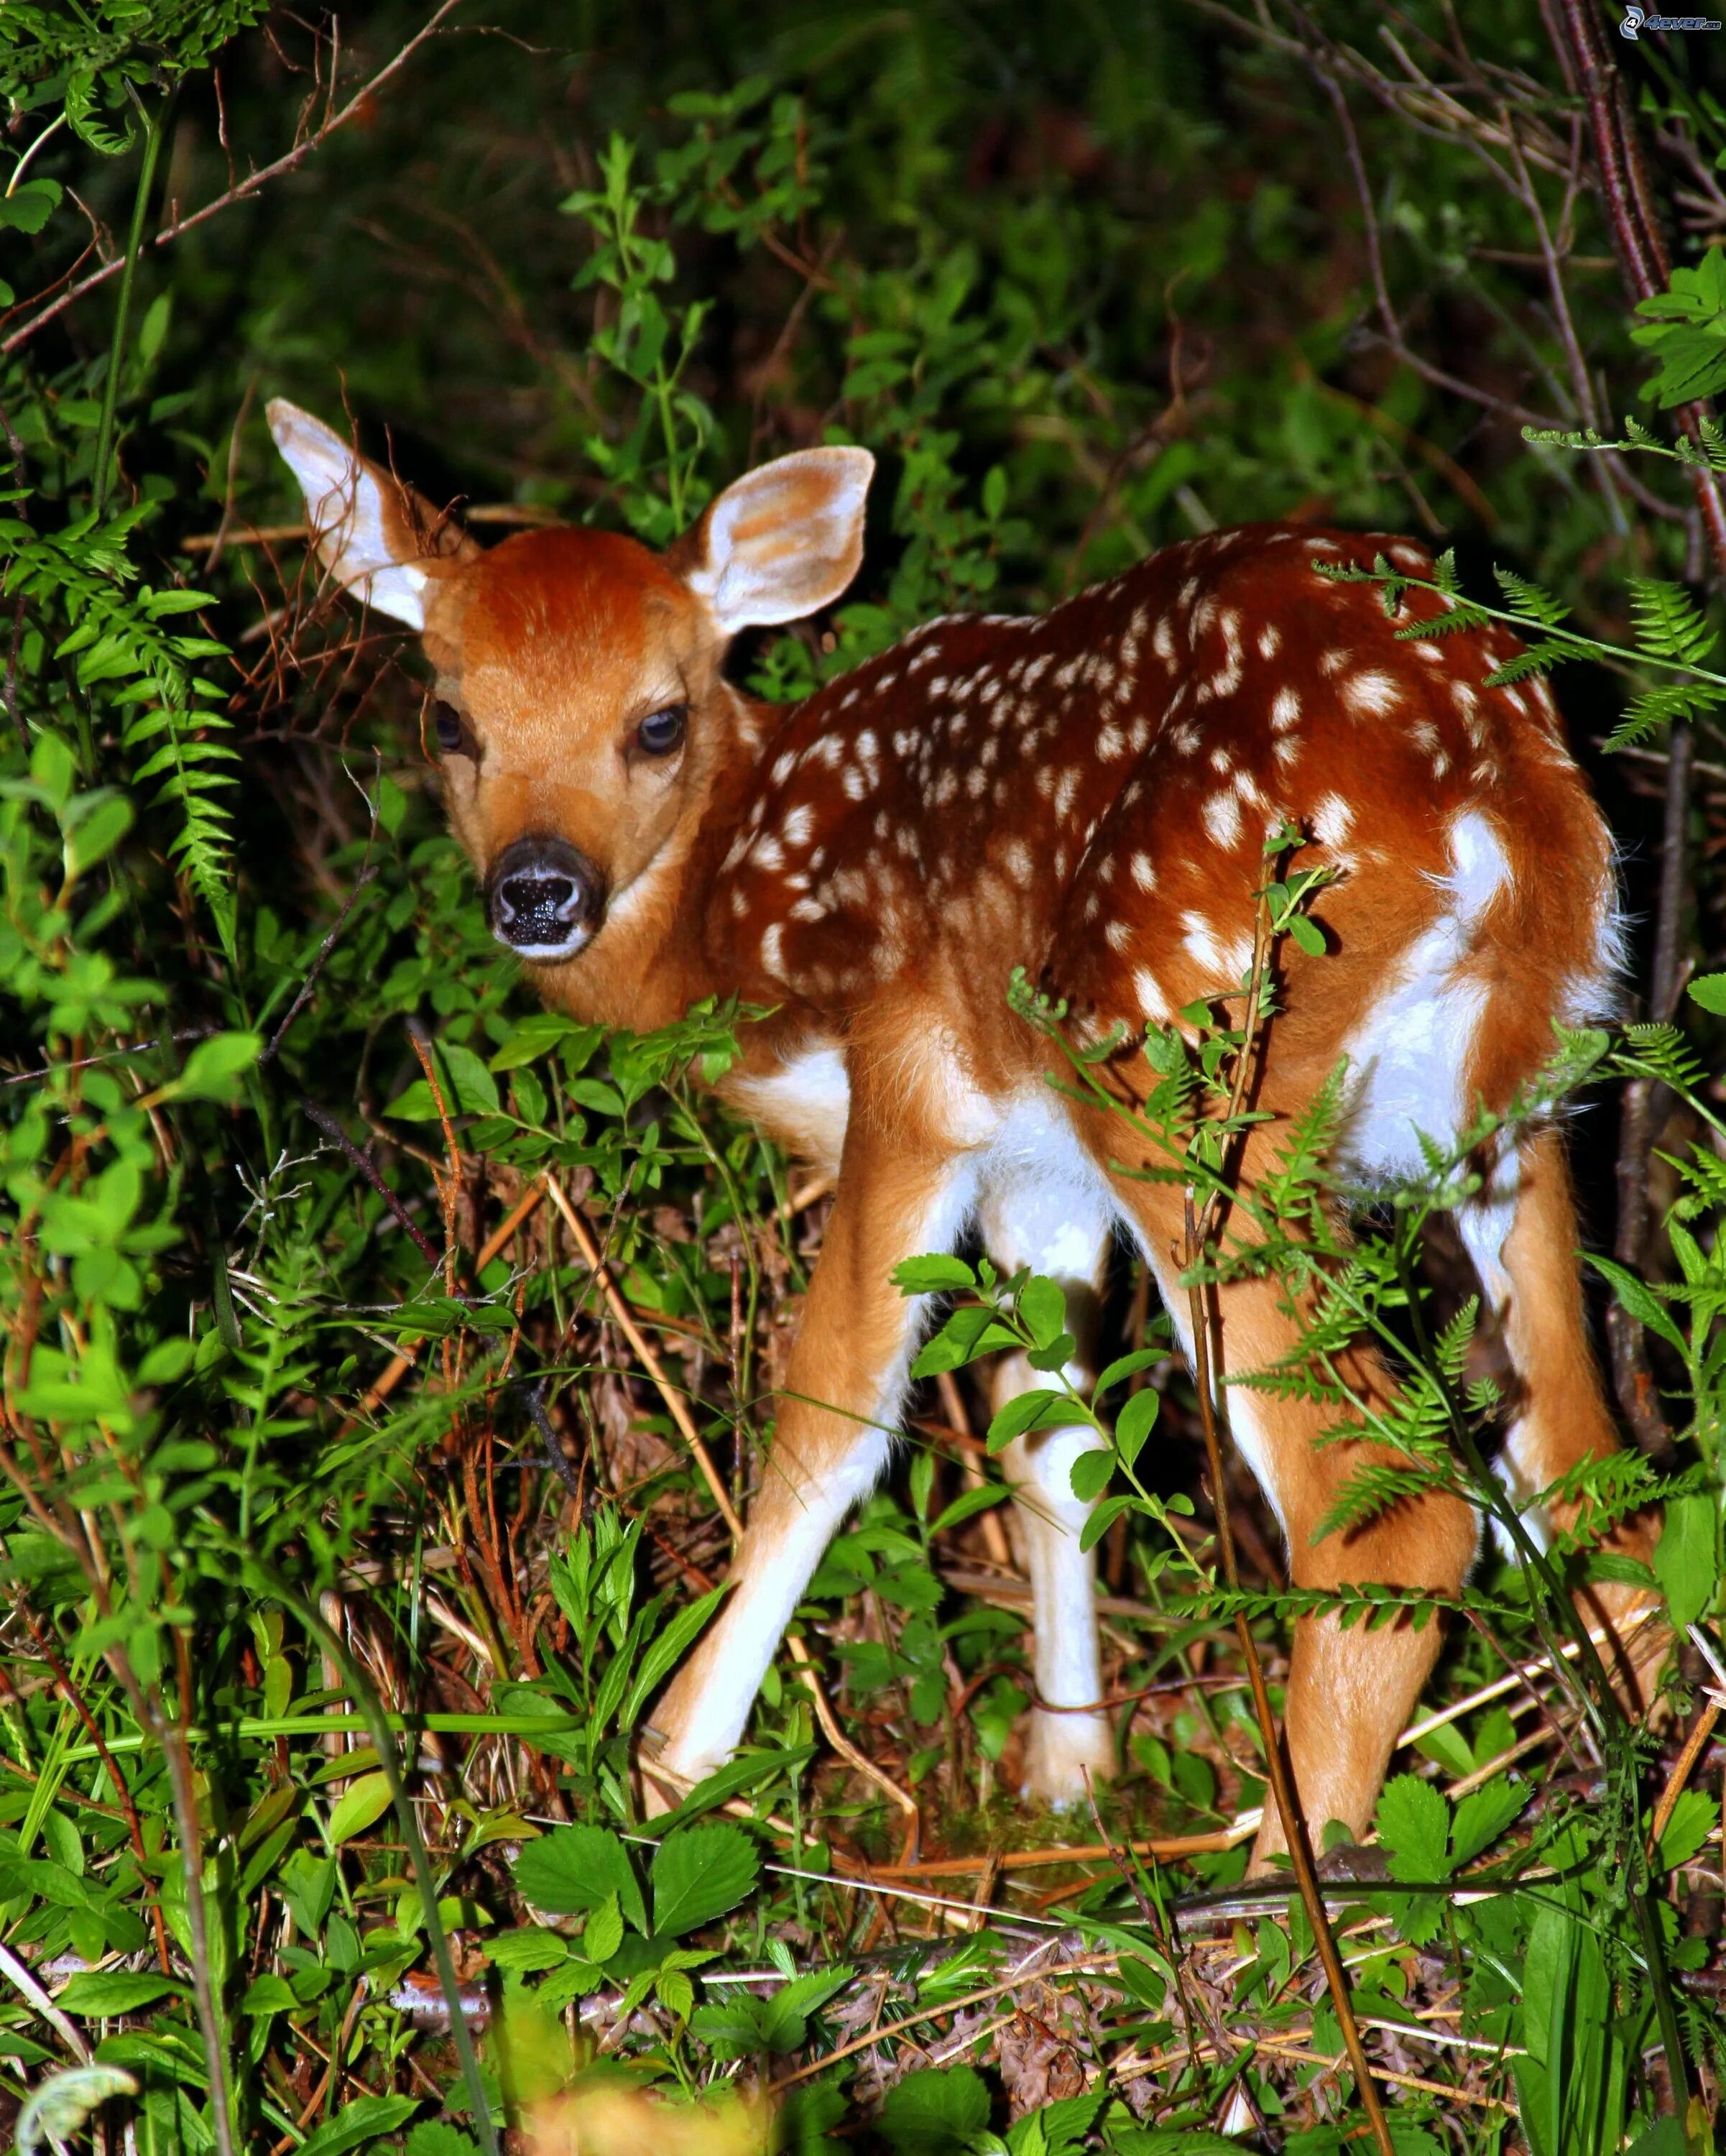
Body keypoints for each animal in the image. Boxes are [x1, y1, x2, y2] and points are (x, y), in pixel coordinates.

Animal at [275, 397, 1663, 1863]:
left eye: (657, 722)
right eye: (448, 717)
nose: (538, 889)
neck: (737, 921)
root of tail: (1493, 781)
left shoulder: (914, 1084)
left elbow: (830, 1425)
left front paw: (666, 1777)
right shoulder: (1036, 1173)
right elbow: (1048, 1438)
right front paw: (1067, 1771)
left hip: (1182, 1073)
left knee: (1390, 1516)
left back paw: (1291, 1869)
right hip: (1521, 1089)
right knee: (1584, 1464)